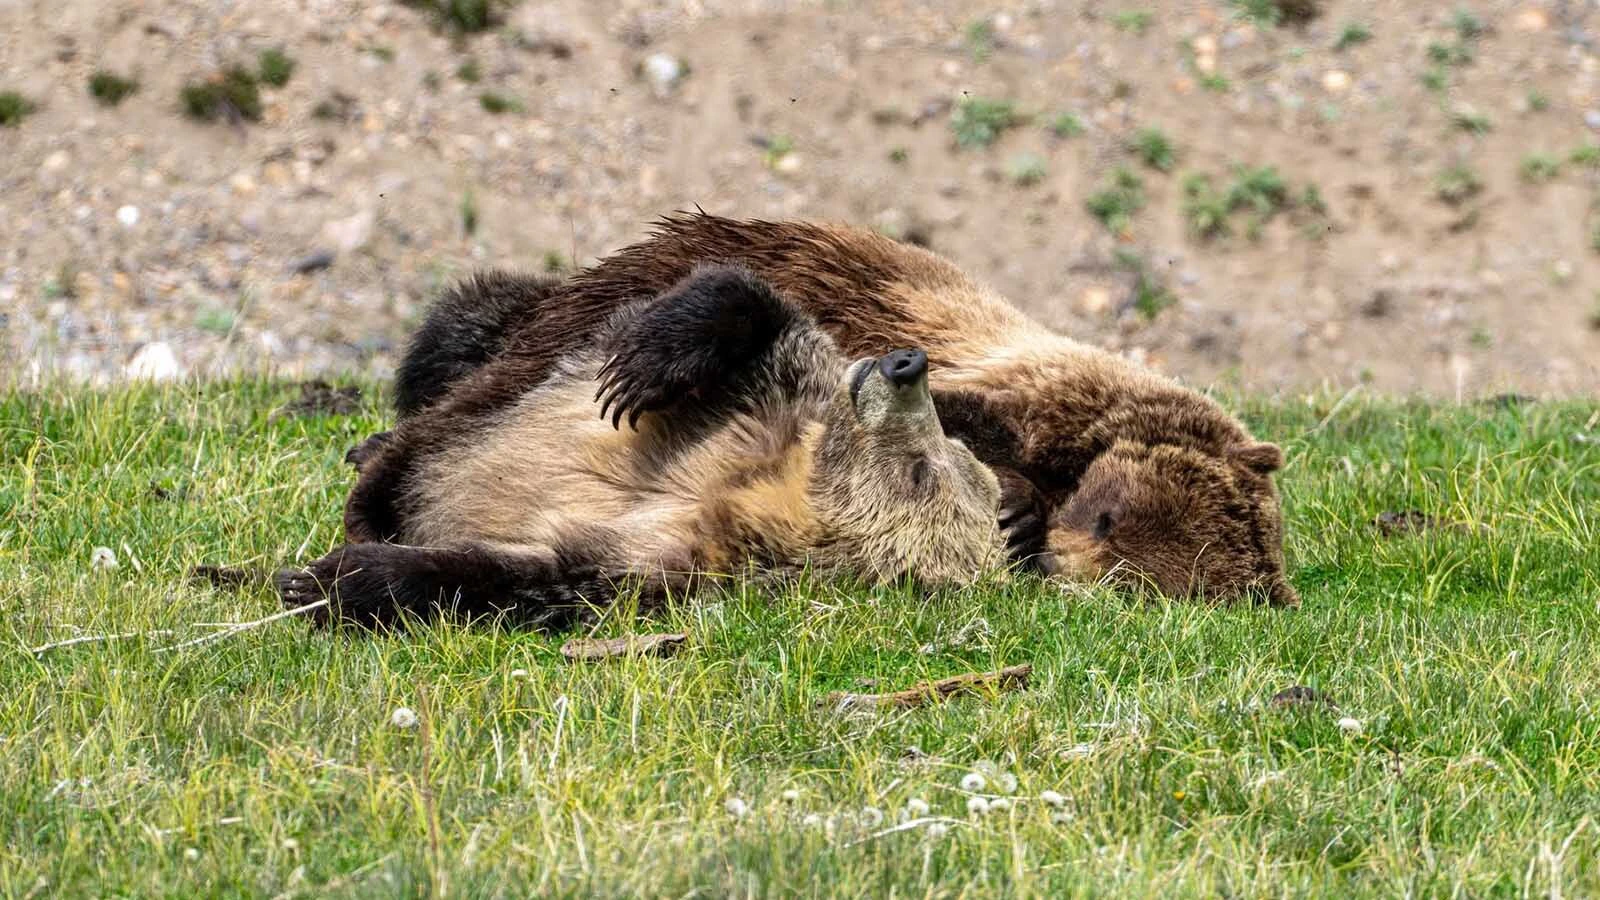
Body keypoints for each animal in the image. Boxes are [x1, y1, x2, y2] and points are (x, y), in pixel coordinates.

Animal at [278, 265, 1006, 629]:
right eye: (953, 451)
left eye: (922, 472)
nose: (907, 365)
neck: (766, 480)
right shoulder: (771, 392)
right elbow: (750, 302)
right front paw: (645, 365)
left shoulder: (671, 556)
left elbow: (528, 574)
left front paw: (336, 578)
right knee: (462, 331)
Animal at [358, 213, 1297, 607]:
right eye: (1110, 516)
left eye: (1139, 580)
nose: (1066, 550)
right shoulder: (1003, 383)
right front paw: (1016, 510)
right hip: (612, 293)